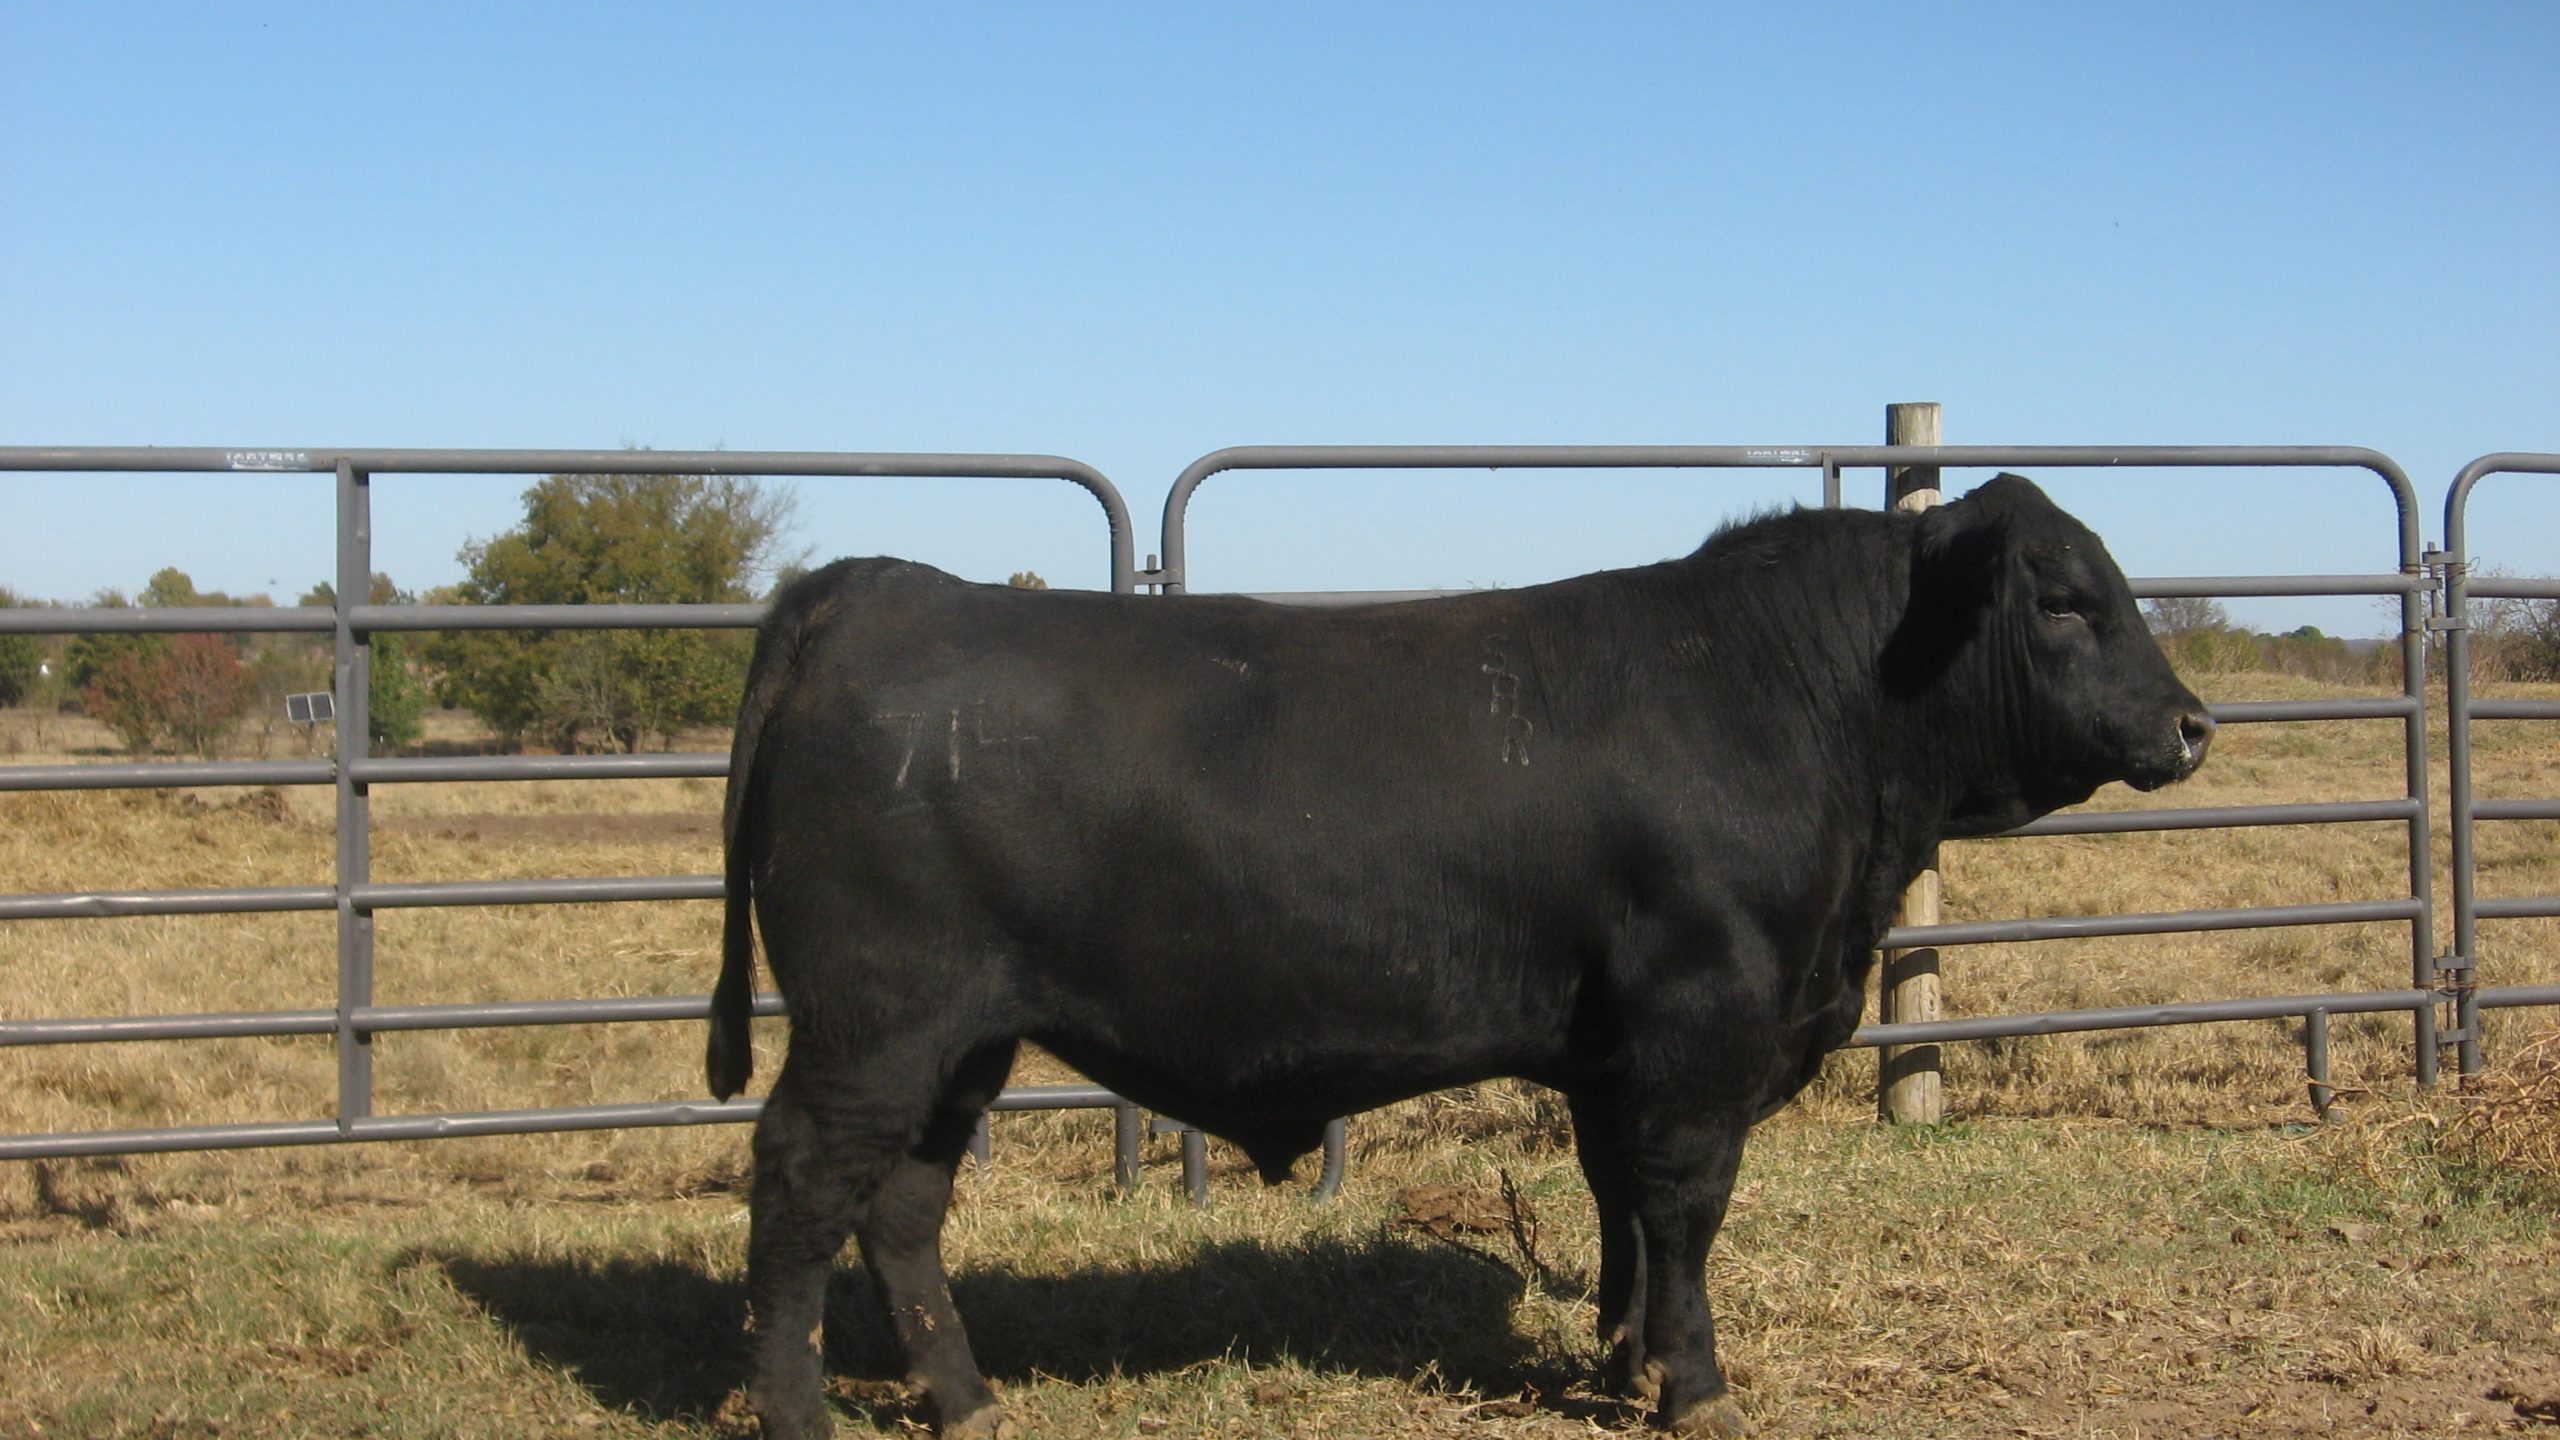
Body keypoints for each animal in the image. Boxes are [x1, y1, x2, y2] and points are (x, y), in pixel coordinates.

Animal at [706, 473, 2211, 1438]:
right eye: (2065, 599)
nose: (2193, 724)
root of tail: (876, 587)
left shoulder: (1613, 1051)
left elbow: (1620, 1205)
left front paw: (1624, 1362)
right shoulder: (1702, 1022)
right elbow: (1686, 1205)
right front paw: (1696, 1386)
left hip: (960, 1034)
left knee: (903, 1204)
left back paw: (968, 1404)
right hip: (874, 1021)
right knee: (802, 1185)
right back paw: (797, 1415)